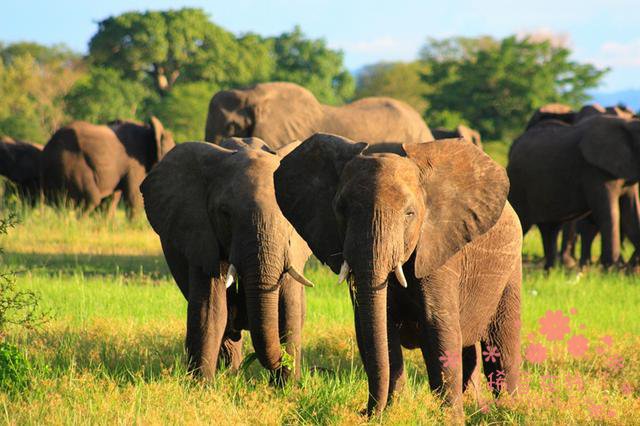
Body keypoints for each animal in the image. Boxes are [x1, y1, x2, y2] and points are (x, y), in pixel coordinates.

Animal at [41, 116, 174, 216]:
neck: (149, 130)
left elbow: (111, 199)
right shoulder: (134, 163)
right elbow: (134, 195)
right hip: (70, 163)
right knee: (91, 198)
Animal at [140, 137, 312, 382]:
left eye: (287, 213)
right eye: (225, 214)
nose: (280, 362)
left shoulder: (292, 247)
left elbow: (290, 309)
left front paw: (288, 386)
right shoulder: (201, 236)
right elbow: (210, 309)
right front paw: (202, 385)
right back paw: (231, 373)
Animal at [272, 134, 524, 416]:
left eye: (409, 214)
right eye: (341, 210)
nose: (364, 411)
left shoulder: (439, 251)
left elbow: (439, 326)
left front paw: (449, 418)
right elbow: (378, 328)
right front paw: (390, 411)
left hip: (511, 268)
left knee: (501, 344)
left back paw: (508, 409)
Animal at [504, 115, 640, 268]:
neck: (628, 125)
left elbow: (631, 214)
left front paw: (629, 270)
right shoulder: (595, 171)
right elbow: (610, 213)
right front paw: (613, 268)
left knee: (550, 229)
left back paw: (551, 270)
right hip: (519, 184)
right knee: (524, 222)